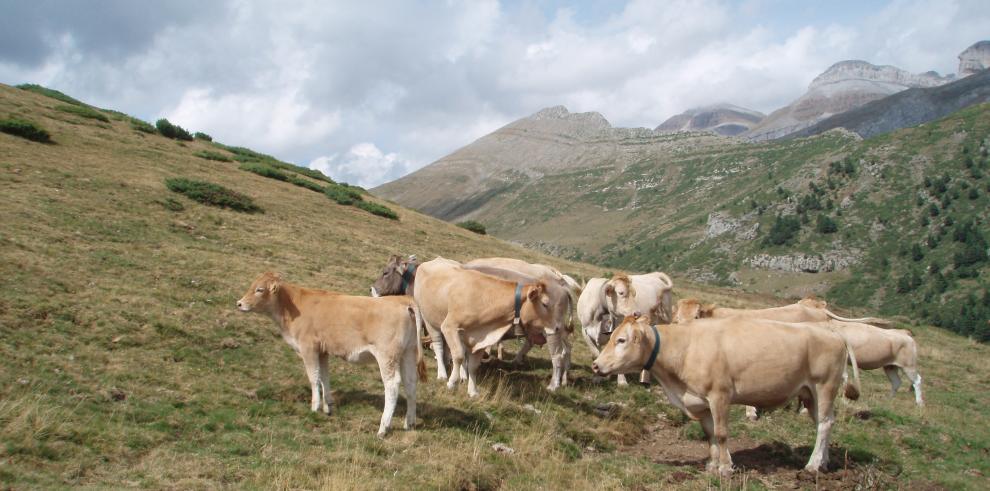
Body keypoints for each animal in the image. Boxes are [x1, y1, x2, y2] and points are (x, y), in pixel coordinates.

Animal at [242, 272, 428, 438]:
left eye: (259, 289)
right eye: (252, 285)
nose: (239, 303)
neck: (293, 305)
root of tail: (402, 300)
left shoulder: (308, 348)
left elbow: (313, 377)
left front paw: (315, 407)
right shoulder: (323, 351)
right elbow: (324, 377)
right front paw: (328, 406)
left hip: (386, 356)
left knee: (392, 385)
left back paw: (383, 428)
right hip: (408, 352)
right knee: (410, 383)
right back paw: (409, 423)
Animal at [414, 260, 560, 398]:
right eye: (545, 304)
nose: (557, 327)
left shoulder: (481, 339)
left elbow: (473, 366)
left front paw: (473, 391)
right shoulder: (450, 327)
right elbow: (459, 356)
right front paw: (452, 383)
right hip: (428, 319)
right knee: (438, 345)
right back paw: (442, 373)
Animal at [592, 316, 864, 476]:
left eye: (621, 340)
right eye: (611, 336)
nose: (596, 365)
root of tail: (833, 333)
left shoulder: (719, 395)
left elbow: (722, 433)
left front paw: (724, 467)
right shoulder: (700, 402)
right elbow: (710, 434)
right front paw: (713, 464)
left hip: (824, 385)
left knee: (824, 424)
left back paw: (812, 465)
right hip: (809, 393)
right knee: (825, 423)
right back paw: (824, 462)